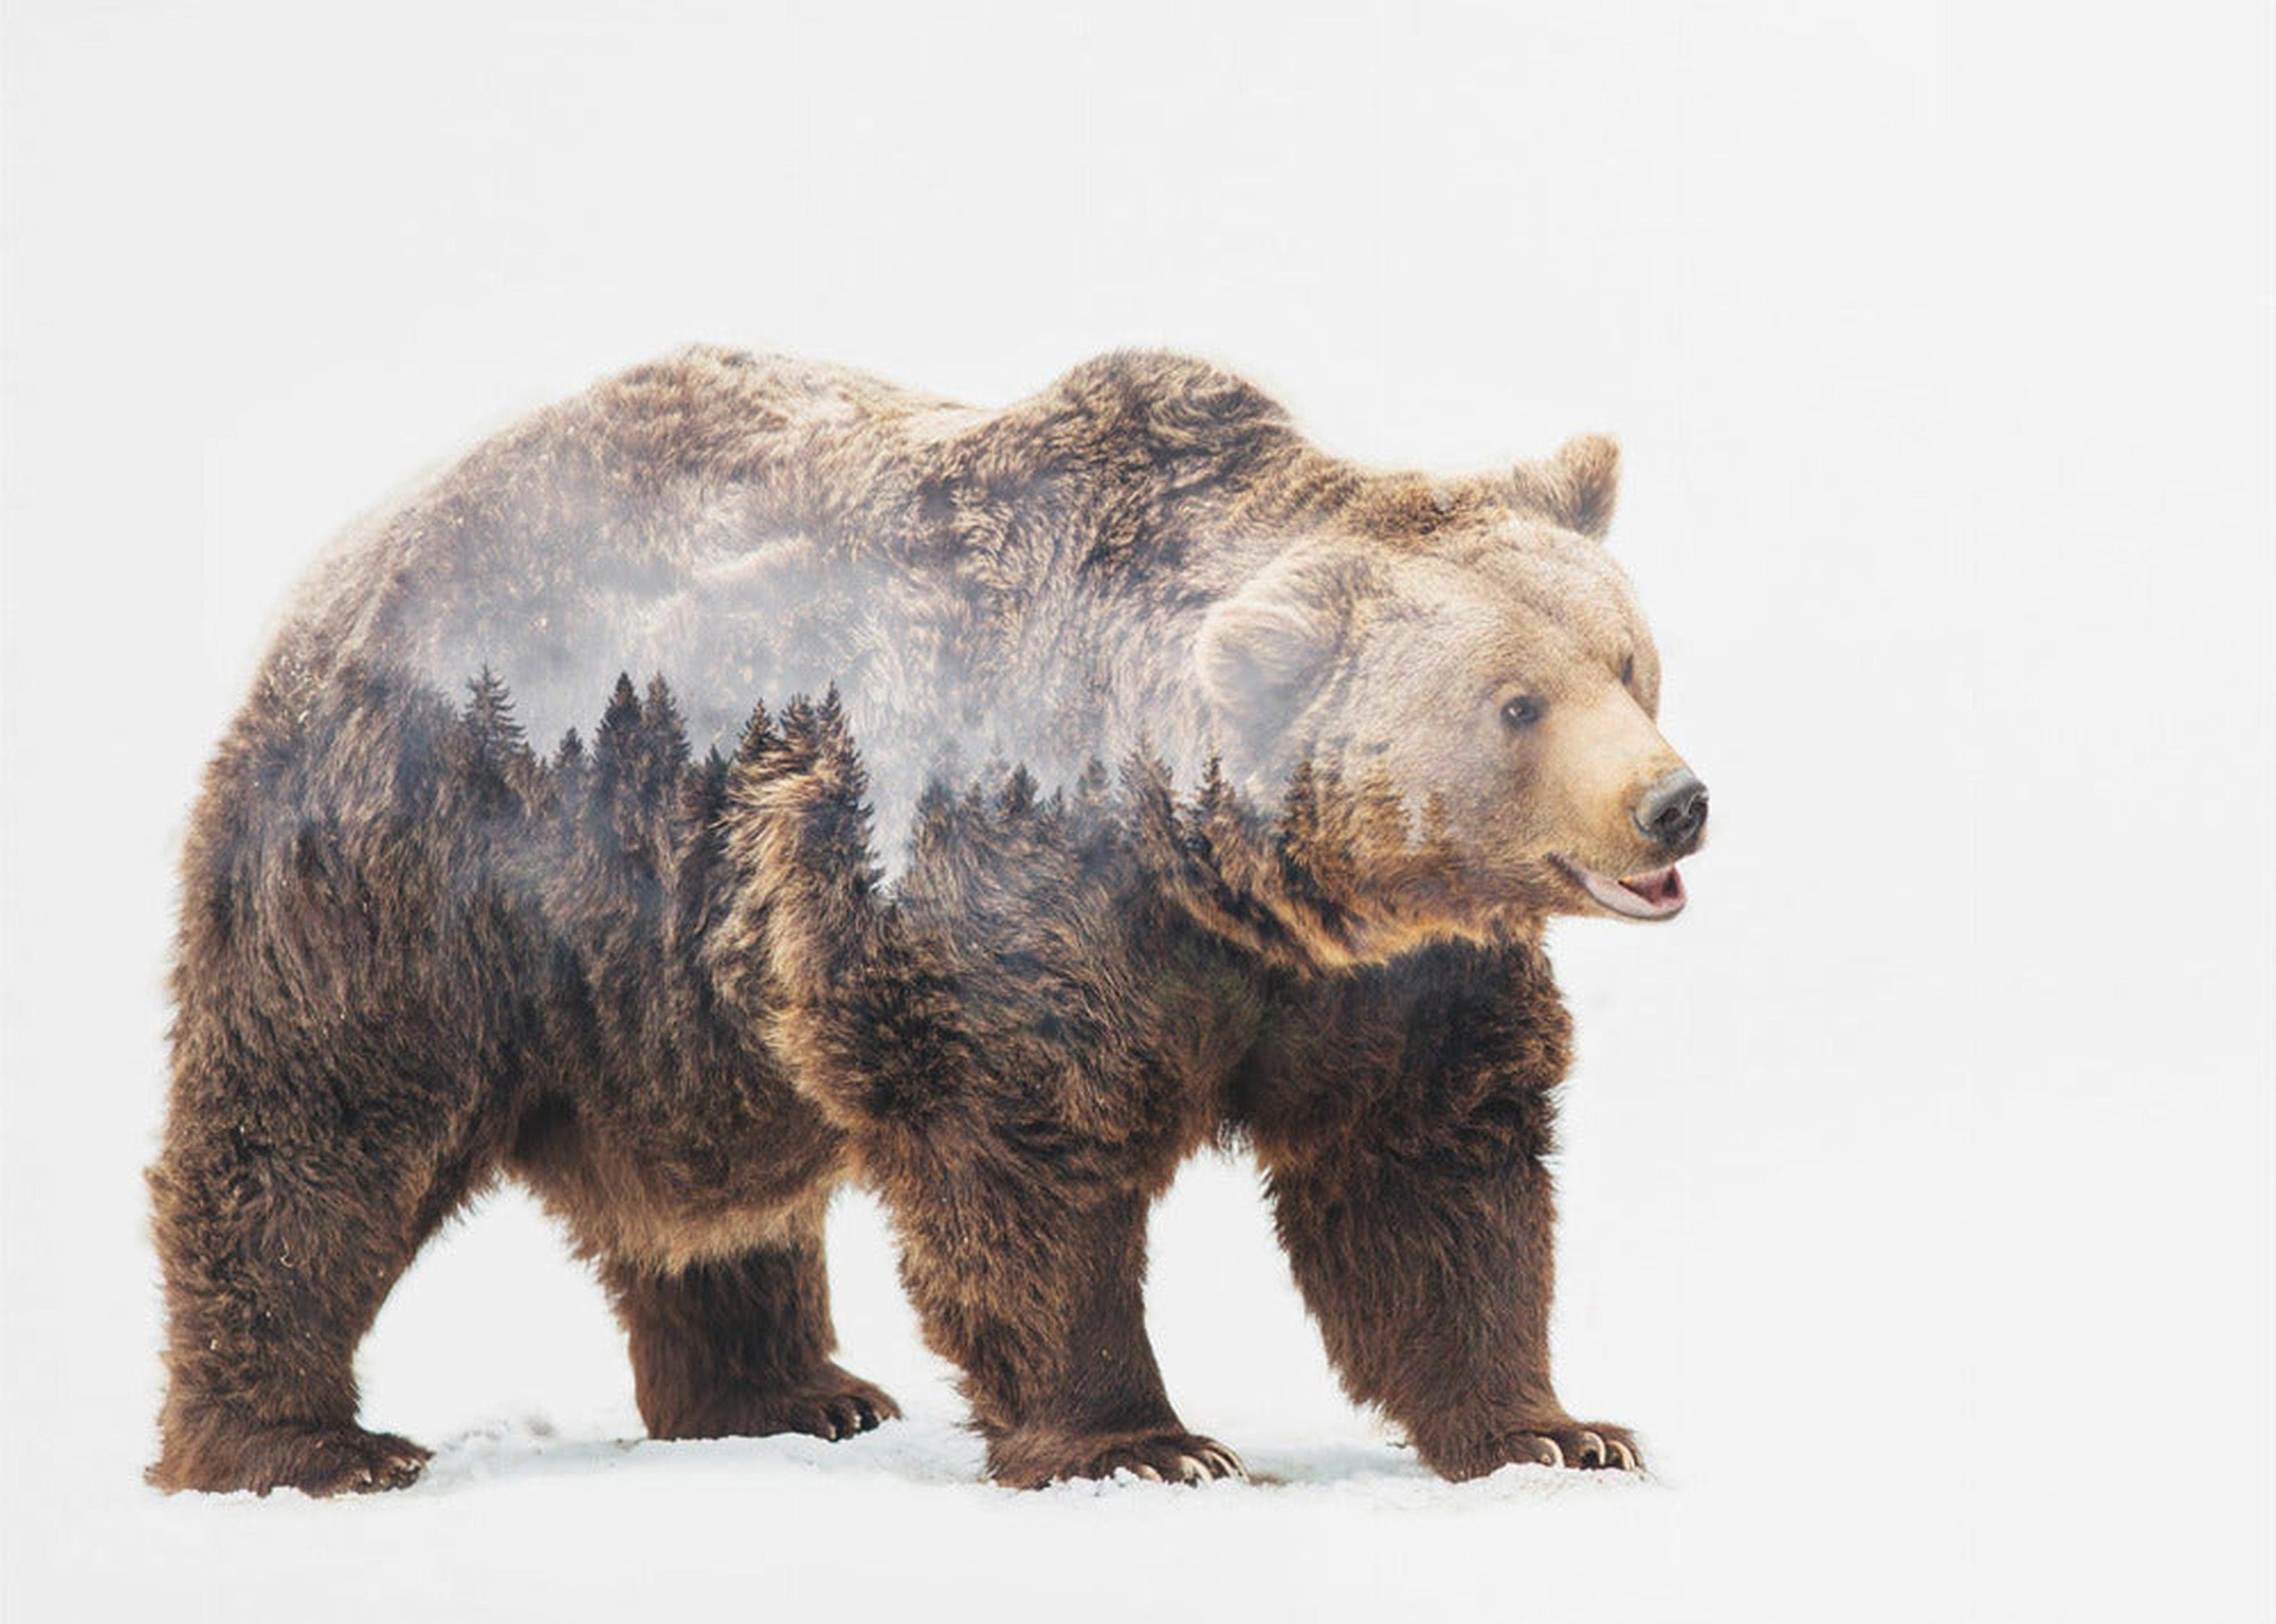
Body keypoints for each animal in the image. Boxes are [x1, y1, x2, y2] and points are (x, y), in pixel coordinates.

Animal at [147, 346, 1706, 1494]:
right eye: (1515, 702)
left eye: (1630, 661)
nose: (1672, 802)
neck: (1221, 873)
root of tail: (352, 553)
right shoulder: (1005, 887)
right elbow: (1024, 1156)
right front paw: (1144, 1441)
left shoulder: (1380, 980)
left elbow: (1429, 1170)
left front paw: (1554, 1425)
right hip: (434, 856)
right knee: (322, 1126)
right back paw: (301, 1440)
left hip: (667, 985)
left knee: (710, 1202)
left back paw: (788, 1390)